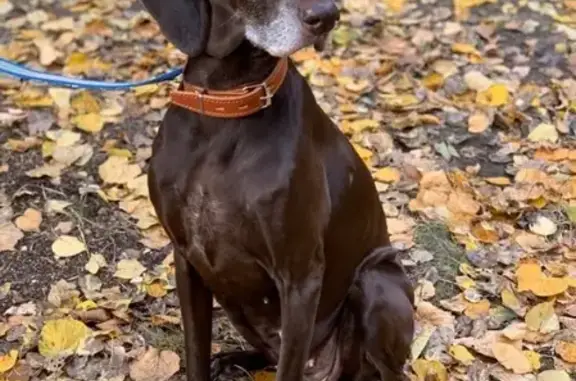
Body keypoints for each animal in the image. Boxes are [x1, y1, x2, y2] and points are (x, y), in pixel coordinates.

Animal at [142, 0, 416, 378]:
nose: (328, 16)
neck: (228, 100)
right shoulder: (187, 259)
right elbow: (195, 353)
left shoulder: (300, 276)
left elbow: (289, 367)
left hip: (377, 281)